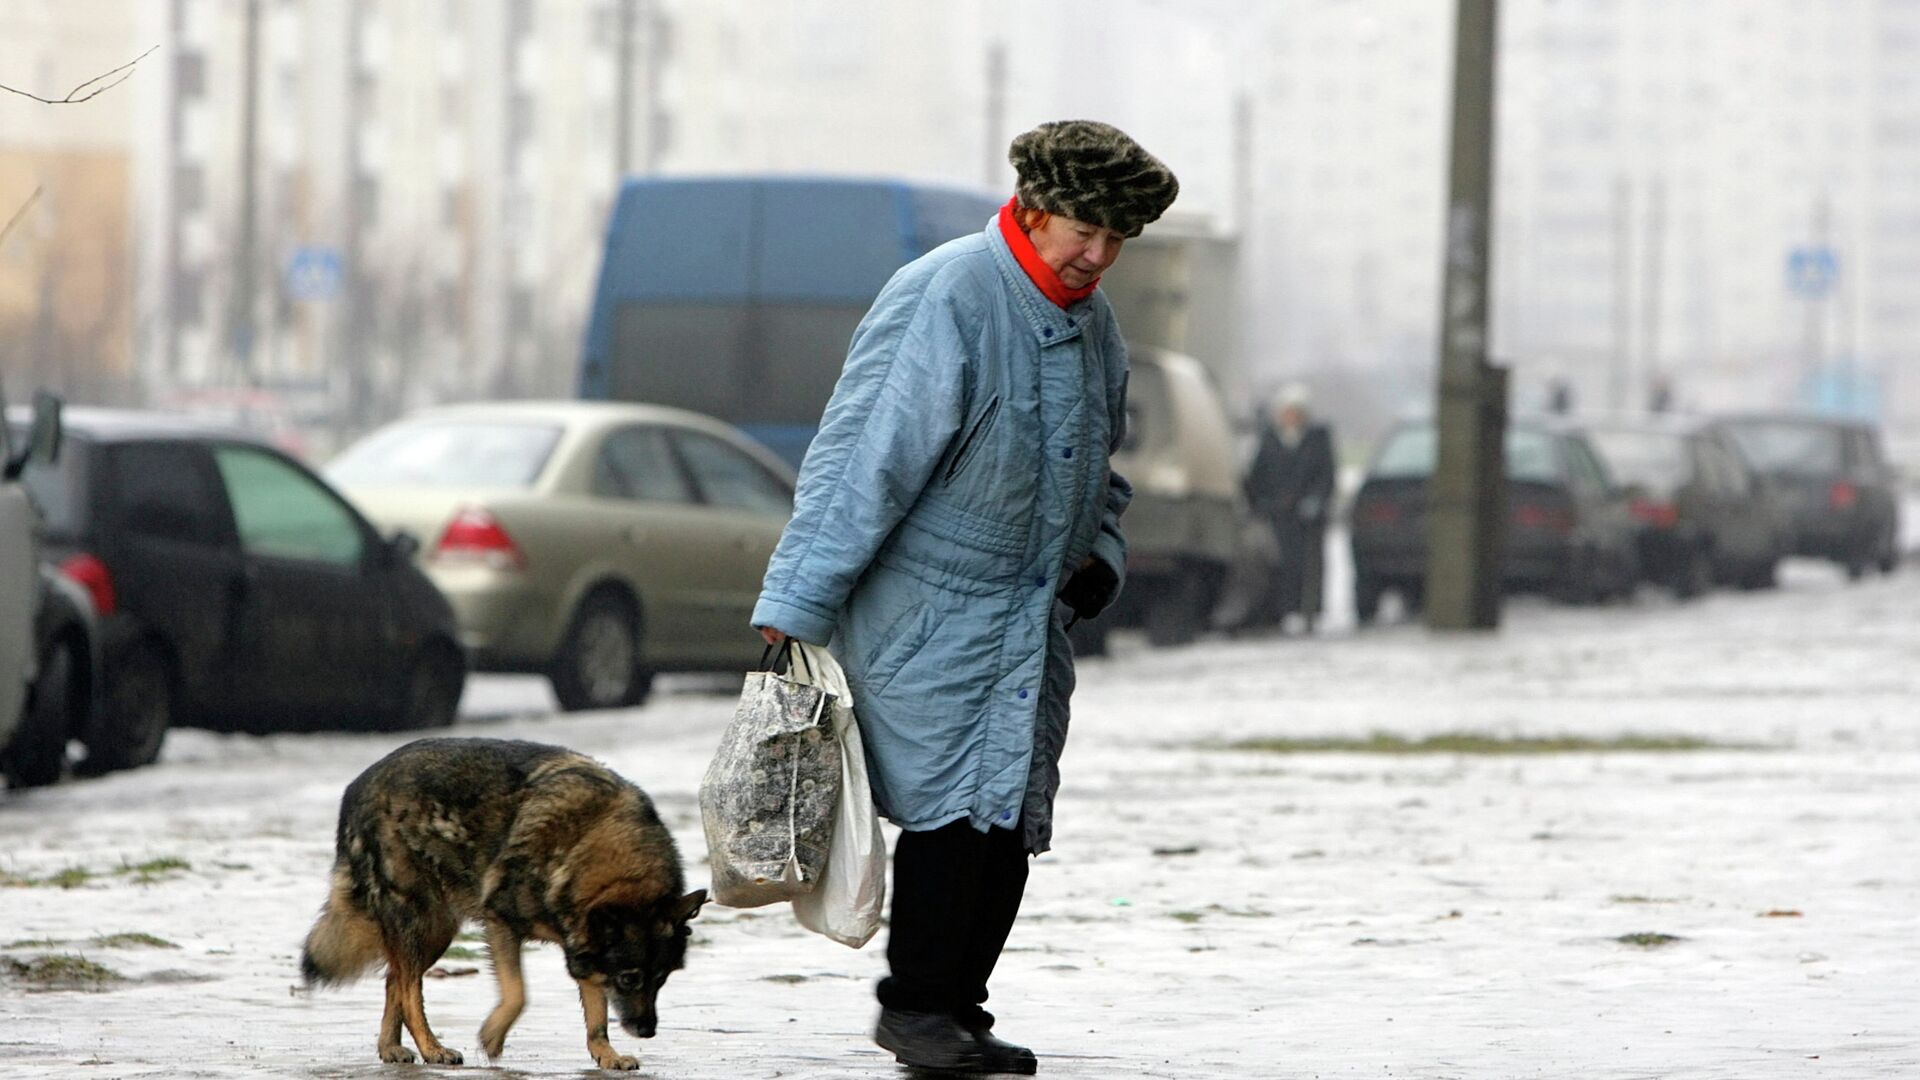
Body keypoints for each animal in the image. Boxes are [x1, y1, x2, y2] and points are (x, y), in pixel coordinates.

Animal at [303, 734, 710, 1060]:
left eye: (662, 978)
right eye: (629, 980)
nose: (647, 1031)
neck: (589, 840)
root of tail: (358, 785)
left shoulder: (582, 950)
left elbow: (597, 1017)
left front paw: (606, 1056)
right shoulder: (501, 924)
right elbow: (518, 993)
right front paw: (492, 1037)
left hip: (436, 932)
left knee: (395, 981)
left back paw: (391, 1048)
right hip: (420, 923)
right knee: (408, 988)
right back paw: (432, 1048)